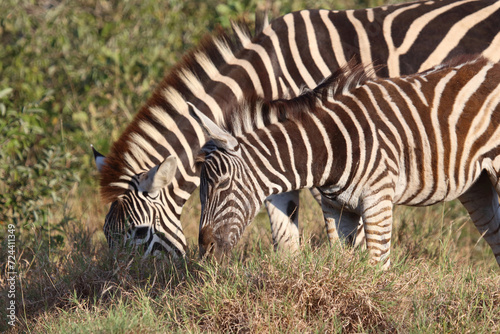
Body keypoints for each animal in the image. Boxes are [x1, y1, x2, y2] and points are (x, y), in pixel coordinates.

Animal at [194, 55, 500, 268]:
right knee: (494, 234)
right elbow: (342, 262)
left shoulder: (378, 200)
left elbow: (378, 266)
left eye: (221, 184)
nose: (204, 249)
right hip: (478, 185)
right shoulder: (336, 209)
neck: (330, 145)